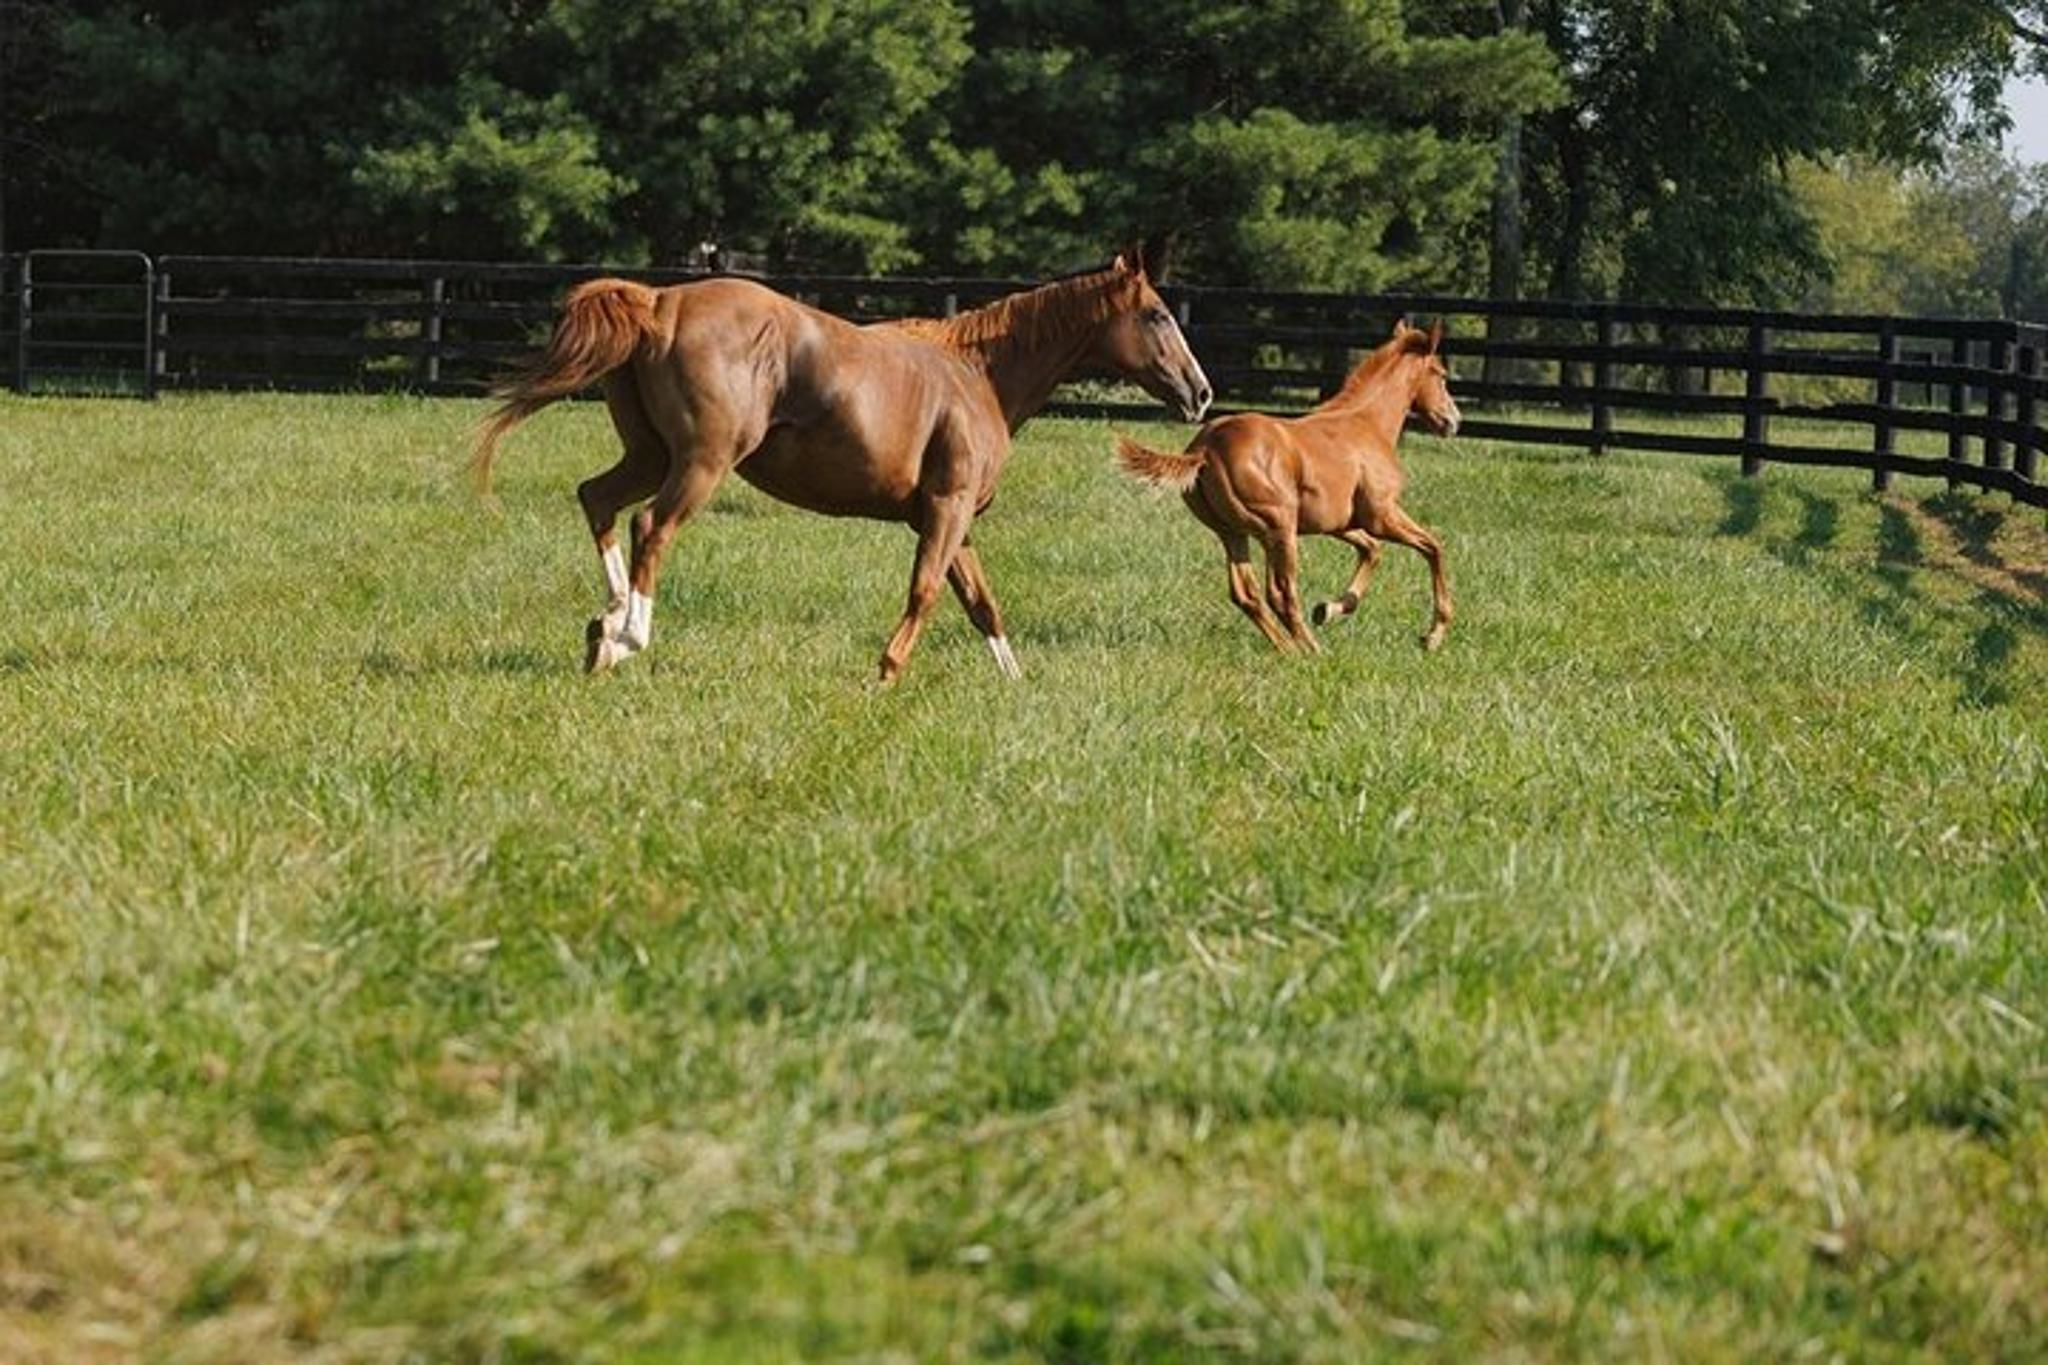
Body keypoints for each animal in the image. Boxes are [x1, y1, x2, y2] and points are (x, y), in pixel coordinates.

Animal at [472, 242, 1211, 682]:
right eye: (1155, 315)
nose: (1201, 393)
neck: (979, 374)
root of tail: (659, 303)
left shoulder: (957, 521)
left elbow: (983, 605)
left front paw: (1014, 683)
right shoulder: (944, 511)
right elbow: (927, 591)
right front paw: (884, 675)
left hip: (652, 455)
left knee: (598, 499)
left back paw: (605, 627)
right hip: (700, 463)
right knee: (651, 527)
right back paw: (630, 634)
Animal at [1113, 319, 1461, 654]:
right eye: (1441, 375)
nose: (1453, 421)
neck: (1366, 424)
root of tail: (1205, 448)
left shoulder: (1339, 523)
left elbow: (1372, 551)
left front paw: (1328, 610)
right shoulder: (1381, 515)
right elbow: (1434, 547)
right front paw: (1433, 636)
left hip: (1233, 532)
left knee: (1246, 593)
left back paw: (1288, 649)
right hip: (1278, 529)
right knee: (1280, 593)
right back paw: (1312, 651)